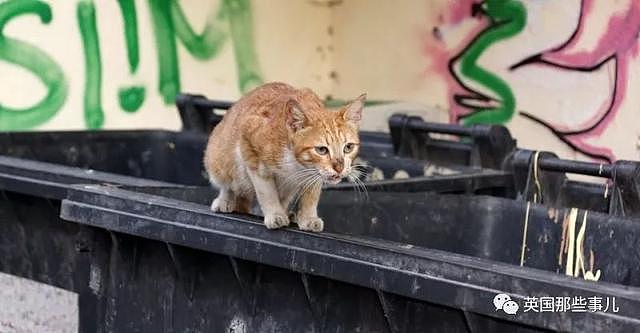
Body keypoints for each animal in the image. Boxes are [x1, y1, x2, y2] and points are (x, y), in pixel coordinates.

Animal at [205, 81, 364, 231]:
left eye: (348, 147)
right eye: (321, 150)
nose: (339, 168)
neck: (296, 165)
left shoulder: (312, 176)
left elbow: (311, 196)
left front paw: (308, 217)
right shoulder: (250, 144)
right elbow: (266, 191)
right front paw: (275, 214)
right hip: (219, 160)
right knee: (228, 185)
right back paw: (225, 201)